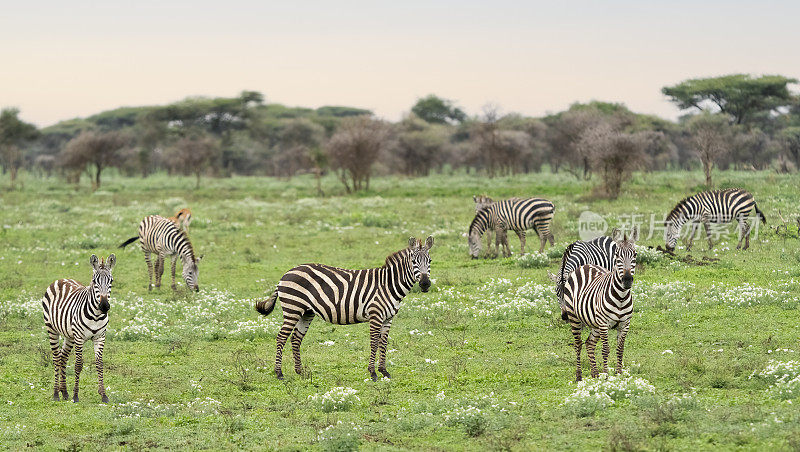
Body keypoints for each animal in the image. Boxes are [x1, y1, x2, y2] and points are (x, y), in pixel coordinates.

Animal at [42, 254, 115, 402]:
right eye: (94, 281)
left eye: (111, 281)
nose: (104, 306)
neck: (96, 316)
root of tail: (61, 279)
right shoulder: (80, 338)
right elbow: (79, 365)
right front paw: (75, 395)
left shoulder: (100, 337)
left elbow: (100, 364)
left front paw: (104, 395)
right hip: (52, 329)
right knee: (56, 358)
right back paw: (56, 394)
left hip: (69, 335)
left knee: (63, 357)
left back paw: (64, 392)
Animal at [256, 237, 434, 382]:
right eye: (414, 261)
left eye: (430, 261)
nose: (425, 284)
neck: (388, 285)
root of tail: (286, 274)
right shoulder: (375, 315)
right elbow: (374, 343)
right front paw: (373, 373)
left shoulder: (388, 318)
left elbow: (383, 343)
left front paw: (384, 371)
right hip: (292, 308)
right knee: (281, 337)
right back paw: (279, 373)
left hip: (306, 312)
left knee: (295, 338)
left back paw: (300, 372)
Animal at [560, 228, 640, 380]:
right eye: (617, 255)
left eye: (635, 254)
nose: (627, 280)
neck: (621, 297)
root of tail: (584, 266)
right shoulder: (604, 324)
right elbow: (605, 349)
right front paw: (607, 376)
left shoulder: (625, 324)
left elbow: (620, 349)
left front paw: (619, 375)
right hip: (574, 317)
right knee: (578, 344)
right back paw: (579, 376)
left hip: (594, 323)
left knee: (589, 344)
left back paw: (595, 374)